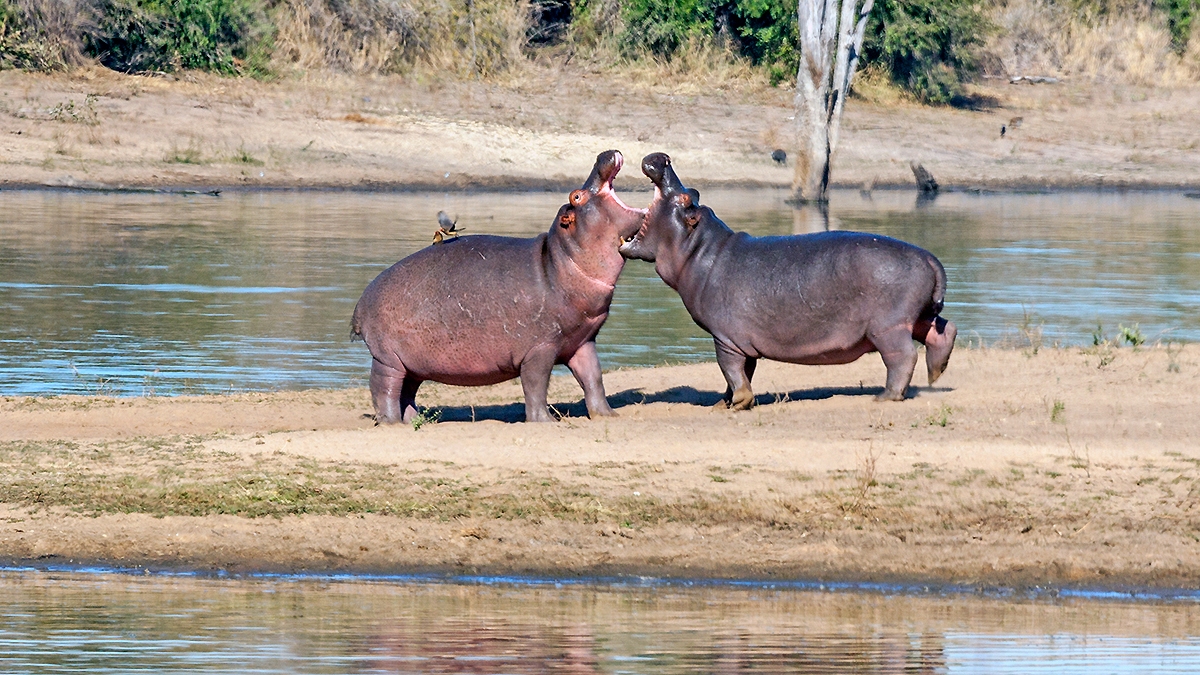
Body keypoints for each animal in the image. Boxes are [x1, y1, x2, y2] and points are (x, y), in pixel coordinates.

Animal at [352, 150, 645, 424]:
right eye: (576, 196)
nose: (602, 154)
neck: (561, 260)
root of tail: (361, 302)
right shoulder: (539, 348)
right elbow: (536, 384)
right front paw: (545, 421)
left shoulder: (582, 342)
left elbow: (594, 379)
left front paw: (607, 415)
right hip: (387, 358)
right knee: (384, 388)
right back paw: (391, 422)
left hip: (412, 363)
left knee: (407, 392)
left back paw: (414, 420)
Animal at [619, 153, 957, 409]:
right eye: (695, 193)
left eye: (685, 196)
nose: (664, 158)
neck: (700, 250)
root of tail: (930, 258)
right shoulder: (743, 342)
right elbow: (742, 373)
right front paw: (723, 403)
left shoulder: (726, 338)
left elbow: (730, 370)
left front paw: (738, 404)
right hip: (917, 315)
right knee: (943, 331)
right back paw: (936, 375)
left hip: (888, 326)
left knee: (903, 356)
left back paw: (885, 397)